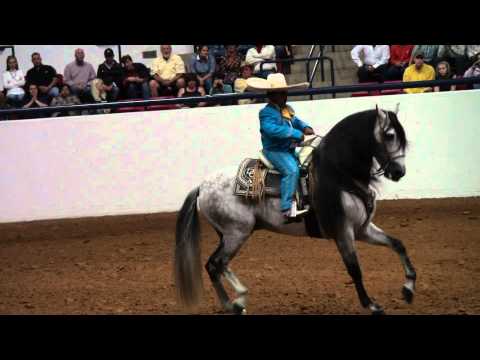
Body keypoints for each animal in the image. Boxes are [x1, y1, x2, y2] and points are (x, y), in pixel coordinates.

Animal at [175, 105, 416, 314]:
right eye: (390, 135)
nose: (399, 172)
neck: (339, 174)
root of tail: (202, 187)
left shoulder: (362, 229)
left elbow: (398, 244)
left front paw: (408, 289)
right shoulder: (343, 232)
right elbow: (354, 268)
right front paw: (372, 305)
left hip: (230, 234)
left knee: (215, 265)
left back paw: (235, 304)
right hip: (237, 233)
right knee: (216, 264)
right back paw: (236, 301)